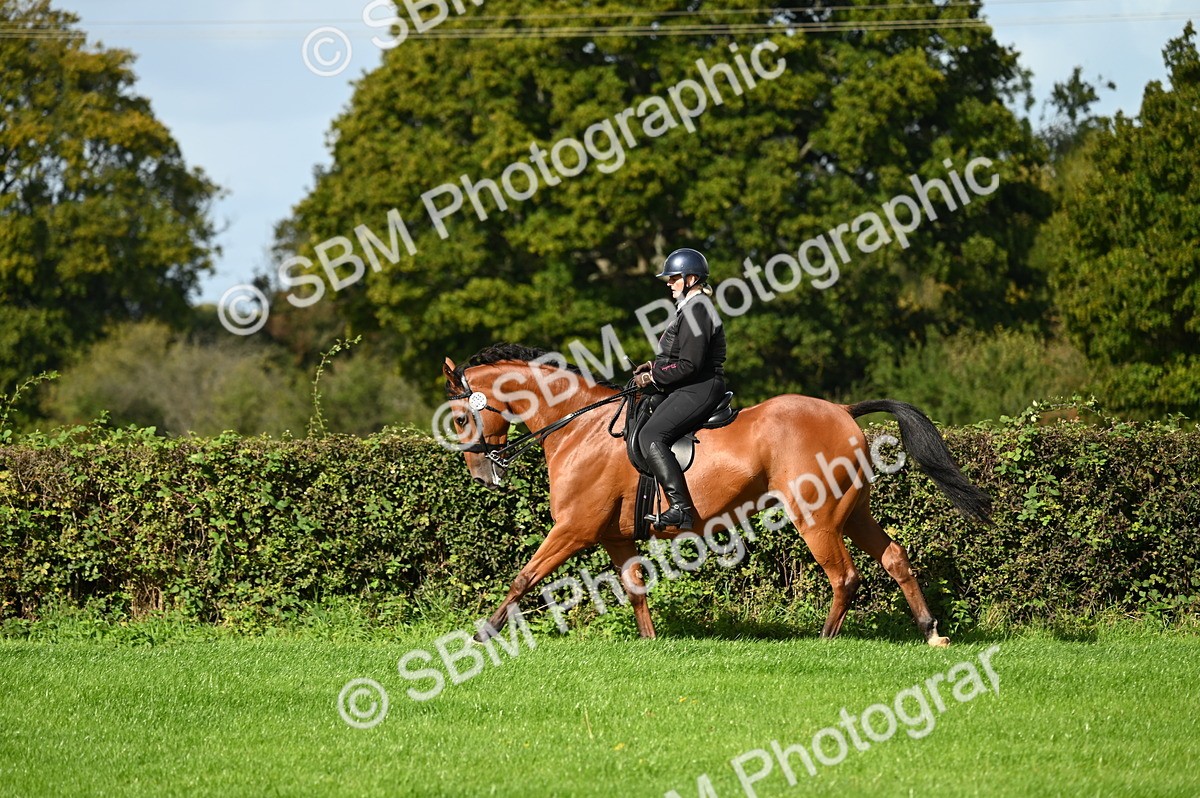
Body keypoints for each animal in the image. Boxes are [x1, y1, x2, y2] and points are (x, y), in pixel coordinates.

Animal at [441, 343, 991, 647]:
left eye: (461, 418)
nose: (481, 475)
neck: (579, 426)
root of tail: (841, 410)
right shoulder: (613, 537)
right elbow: (635, 586)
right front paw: (650, 642)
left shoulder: (573, 529)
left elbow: (523, 577)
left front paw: (483, 633)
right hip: (854, 511)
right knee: (895, 558)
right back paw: (931, 631)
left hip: (815, 517)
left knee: (845, 576)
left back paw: (824, 640)